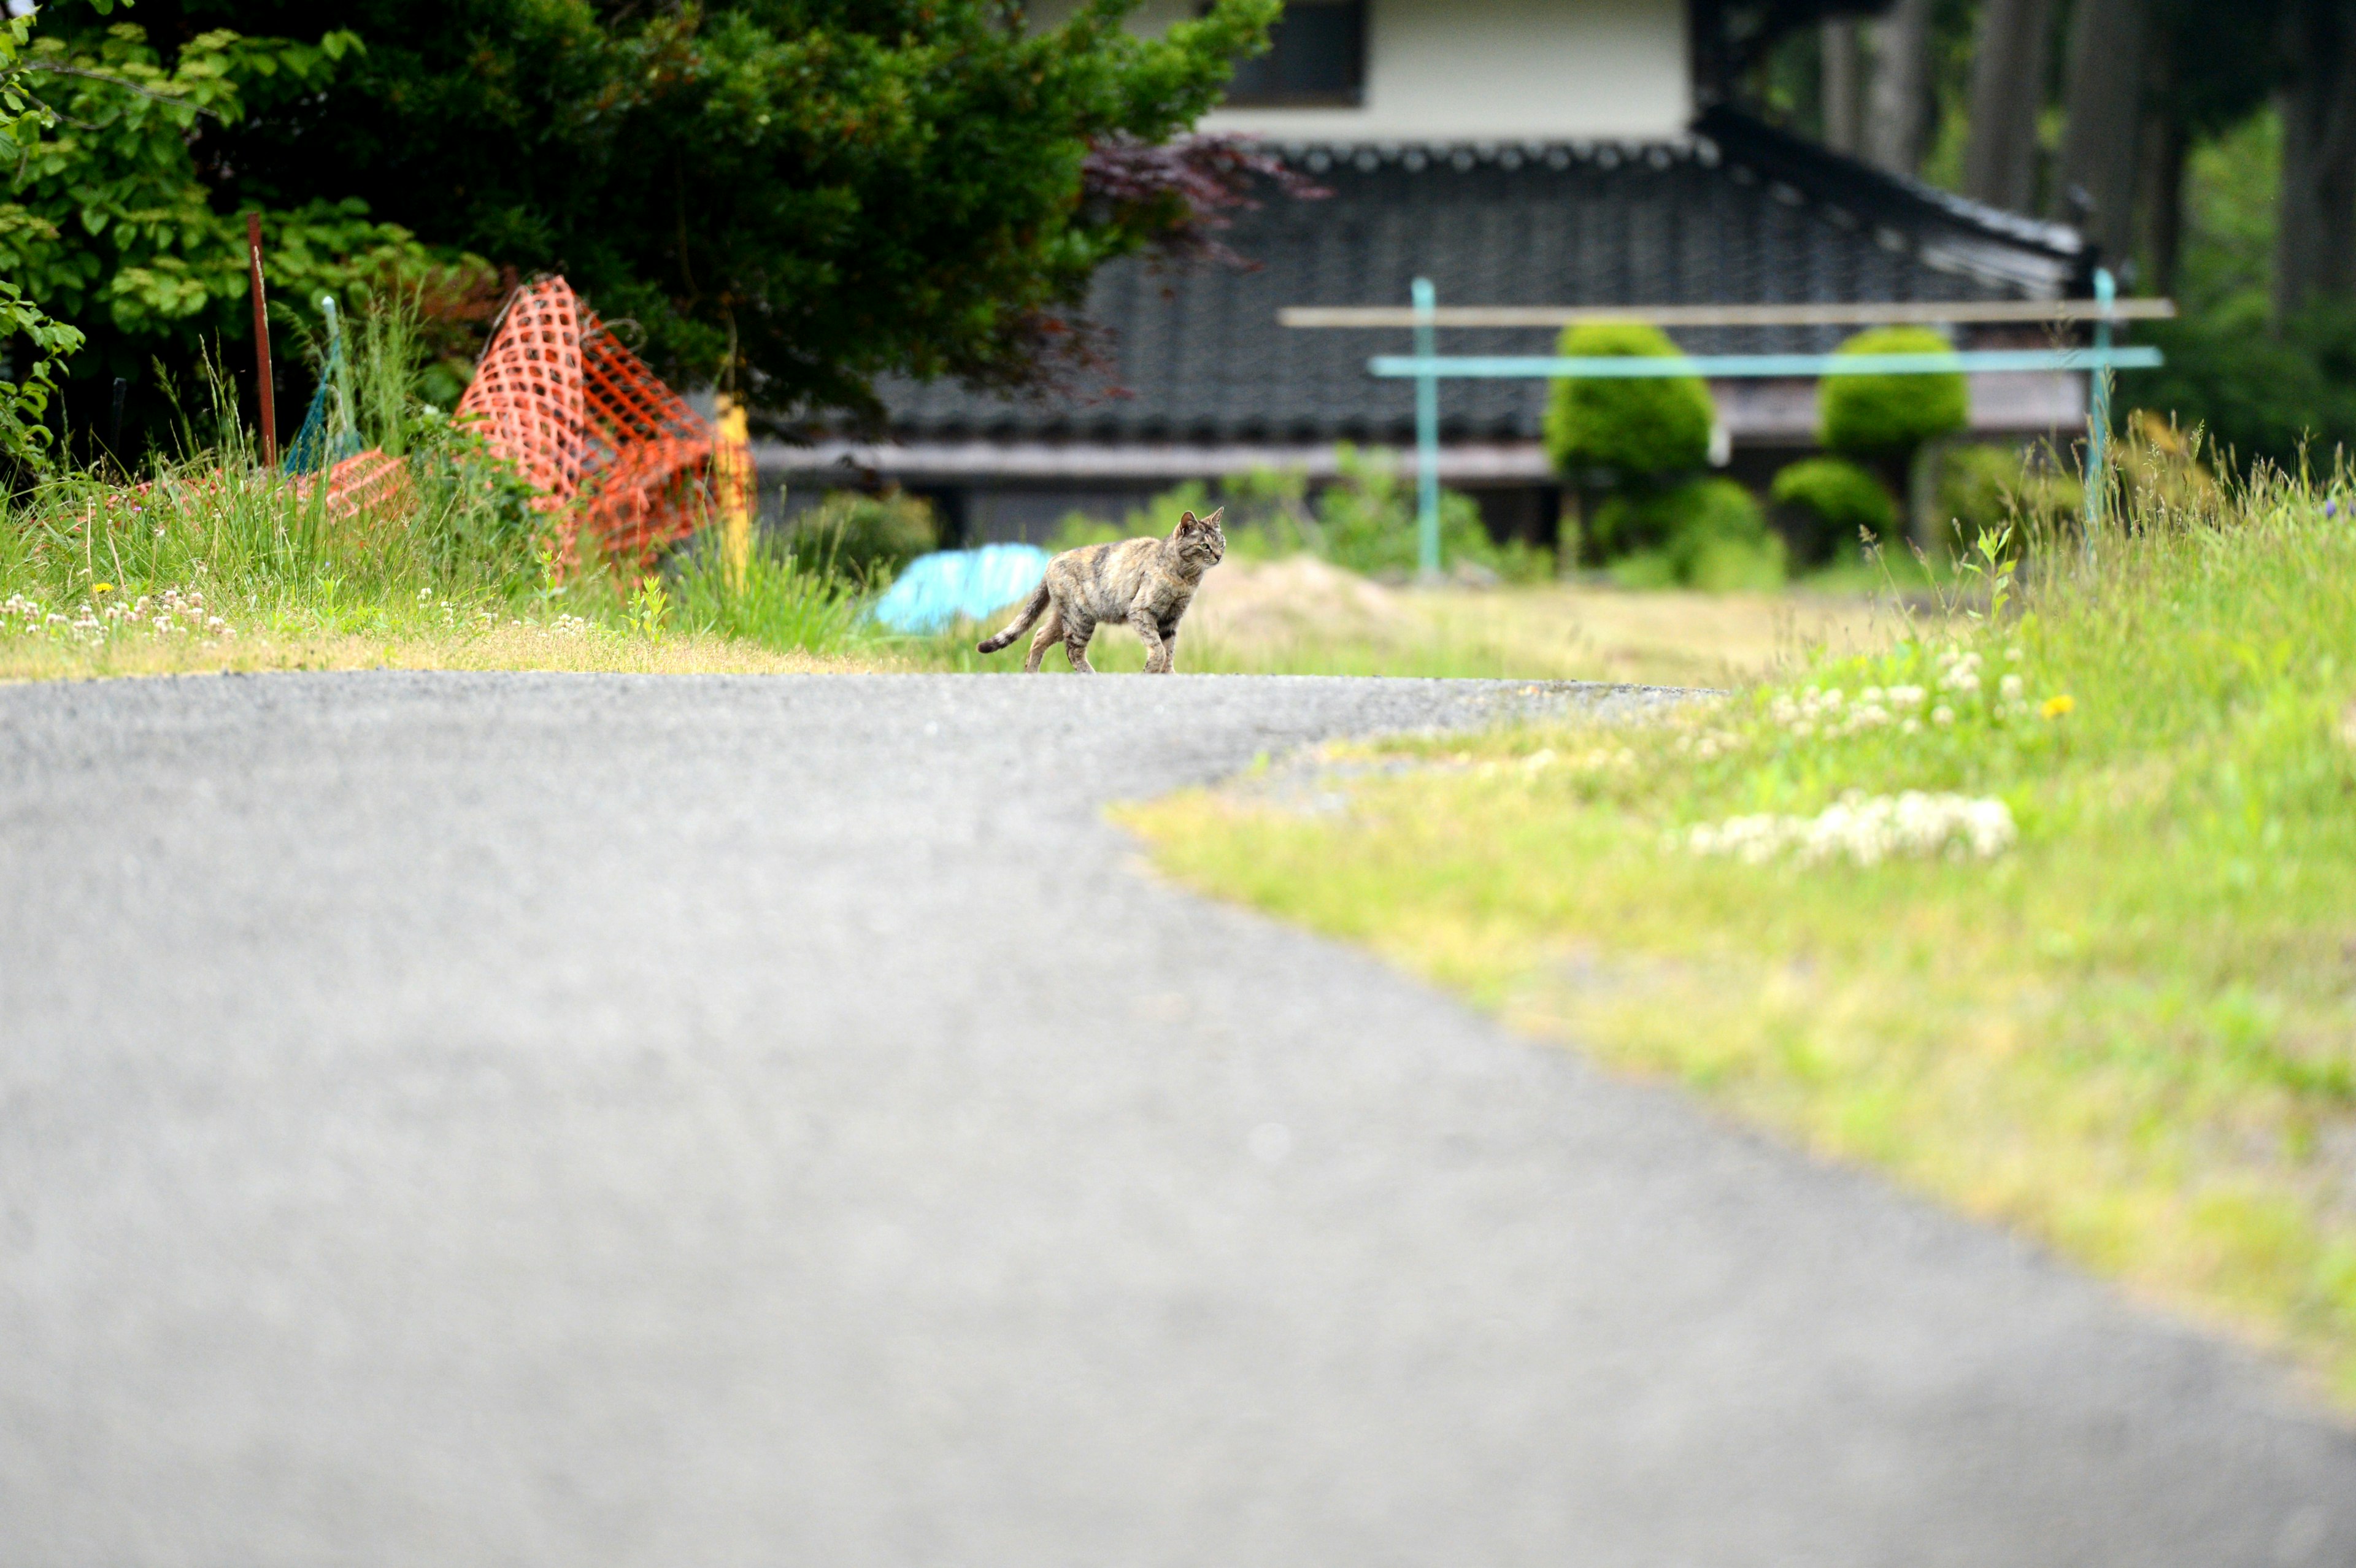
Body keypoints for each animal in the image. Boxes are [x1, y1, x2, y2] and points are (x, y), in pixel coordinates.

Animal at [980, 504, 1234, 668]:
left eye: (1221, 543)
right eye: (1204, 546)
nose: (1220, 556)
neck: (1186, 578)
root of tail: (1053, 559)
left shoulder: (1171, 620)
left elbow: (1169, 652)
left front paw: (1166, 674)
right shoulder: (1142, 612)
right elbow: (1159, 650)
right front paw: (1152, 669)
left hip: (1064, 619)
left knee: (1039, 637)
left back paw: (1032, 672)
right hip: (1080, 618)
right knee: (1073, 652)